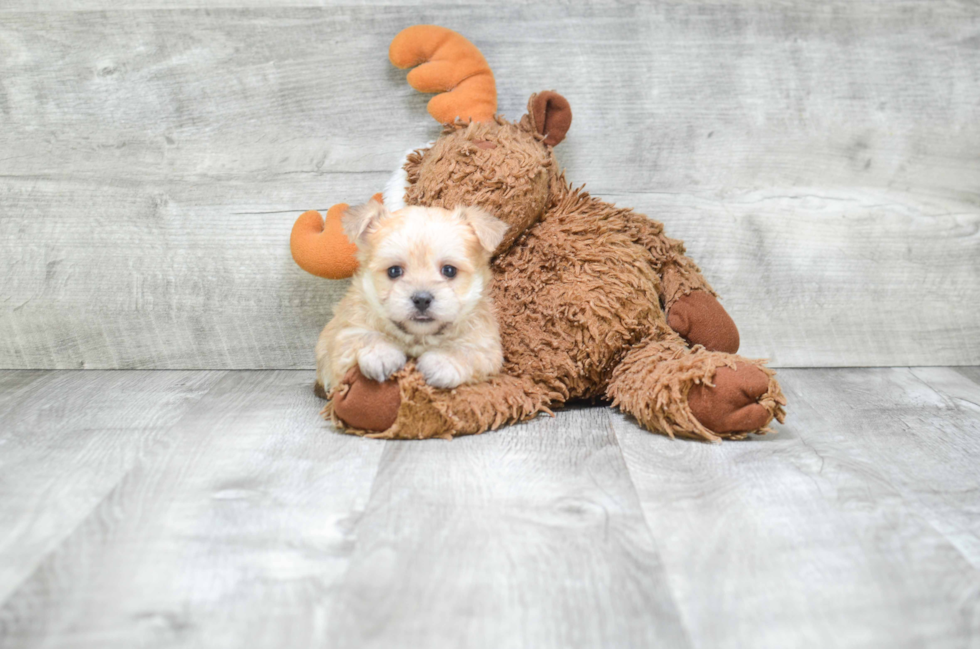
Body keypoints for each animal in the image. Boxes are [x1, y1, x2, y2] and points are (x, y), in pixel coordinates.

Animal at [318, 200, 510, 392]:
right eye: (394, 271)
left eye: (449, 270)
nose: (422, 299)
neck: (419, 338)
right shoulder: (342, 335)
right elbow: (364, 335)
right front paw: (380, 353)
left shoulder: (485, 345)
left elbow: (467, 351)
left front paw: (443, 362)